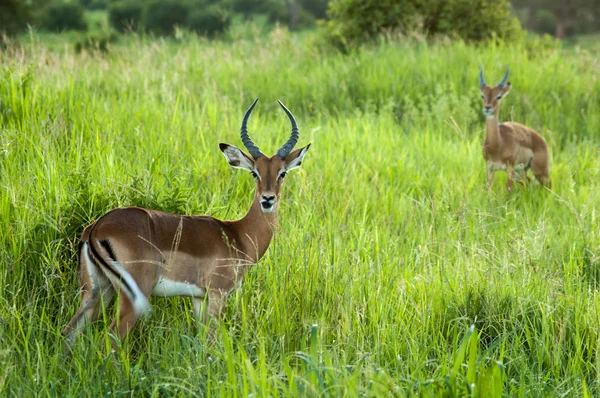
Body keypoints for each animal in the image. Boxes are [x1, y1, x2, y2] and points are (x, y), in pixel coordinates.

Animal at [63, 98, 312, 348]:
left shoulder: (199, 297)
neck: (238, 235)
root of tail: (97, 227)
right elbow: (212, 342)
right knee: (110, 341)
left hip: (96, 292)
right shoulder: (218, 293)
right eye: (254, 173)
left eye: (282, 173)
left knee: (68, 334)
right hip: (131, 296)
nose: (267, 199)